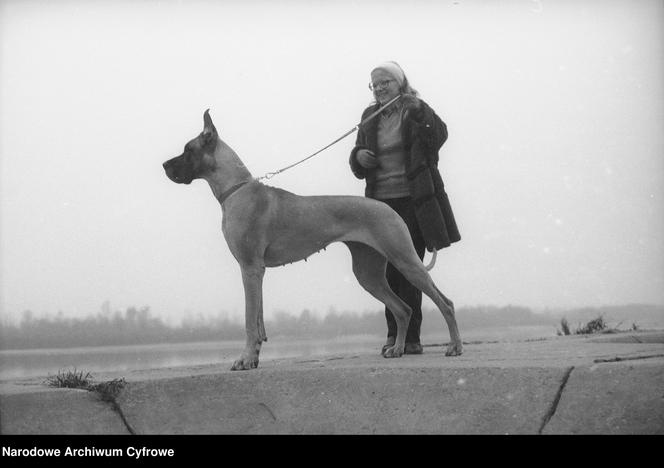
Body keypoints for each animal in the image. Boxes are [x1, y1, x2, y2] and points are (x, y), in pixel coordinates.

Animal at [162, 111, 462, 372]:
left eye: (188, 149)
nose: (164, 165)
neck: (236, 190)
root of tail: (389, 208)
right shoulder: (256, 272)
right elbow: (258, 319)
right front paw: (254, 357)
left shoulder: (249, 268)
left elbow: (249, 319)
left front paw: (244, 359)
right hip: (368, 272)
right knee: (402, 309)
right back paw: (397, 349)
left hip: (405, 260)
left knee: (445, 303)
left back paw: (454, 347)